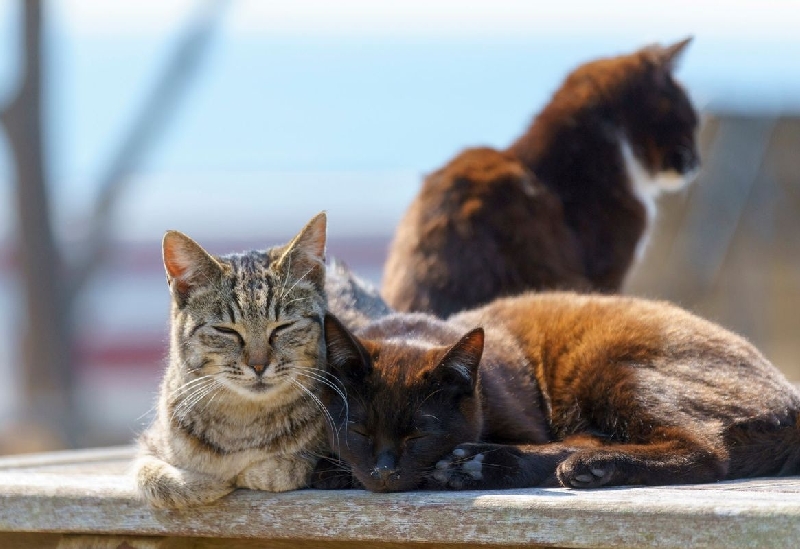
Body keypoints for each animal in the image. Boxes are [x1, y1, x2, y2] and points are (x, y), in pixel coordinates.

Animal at [136, 212, 330, 508]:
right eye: (226, 330)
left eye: (283, 327)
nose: (259, 365)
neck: (242, 424)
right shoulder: (148, 447)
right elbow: (158, 479)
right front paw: (209, 482)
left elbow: (285, 469)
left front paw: (256, 472)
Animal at [312, 294, 800, 490]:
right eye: (359, 431)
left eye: (419, 435)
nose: (384, 472)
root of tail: (789, 398)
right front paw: (333, 471)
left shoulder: (530, 423)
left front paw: (471, 463)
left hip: (608, 365)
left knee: (705, 450)